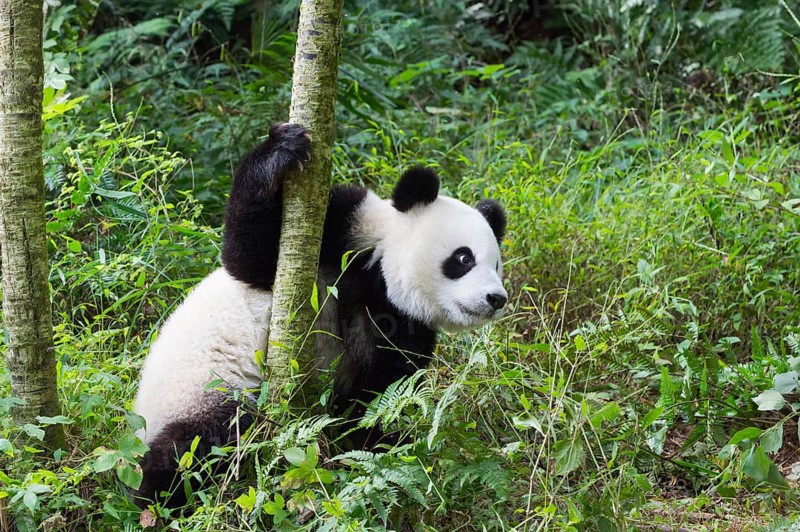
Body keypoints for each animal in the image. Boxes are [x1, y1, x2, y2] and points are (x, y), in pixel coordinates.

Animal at [132, 123, 507, 507]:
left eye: (495, 265)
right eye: (464, 258)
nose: (497, 298)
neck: (380, 279)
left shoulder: (400, 325)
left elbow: (372, 396)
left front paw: (380, 449)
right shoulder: (343, 229)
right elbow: (250, 259)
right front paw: (281, 148)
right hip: (204, 388)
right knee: (201, 442)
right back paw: (158, 496)